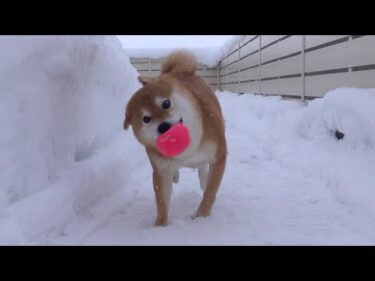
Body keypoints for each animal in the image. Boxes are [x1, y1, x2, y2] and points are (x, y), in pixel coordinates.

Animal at [125, 50, 228, 225]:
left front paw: (201, 216)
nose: (163, 127)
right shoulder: (160, 172)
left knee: (203, 170)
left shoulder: (219, 156)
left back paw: (203, 180)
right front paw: (160, 226)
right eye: (146, 119)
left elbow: (210, 191)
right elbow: (162, 202)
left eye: (166, 103)